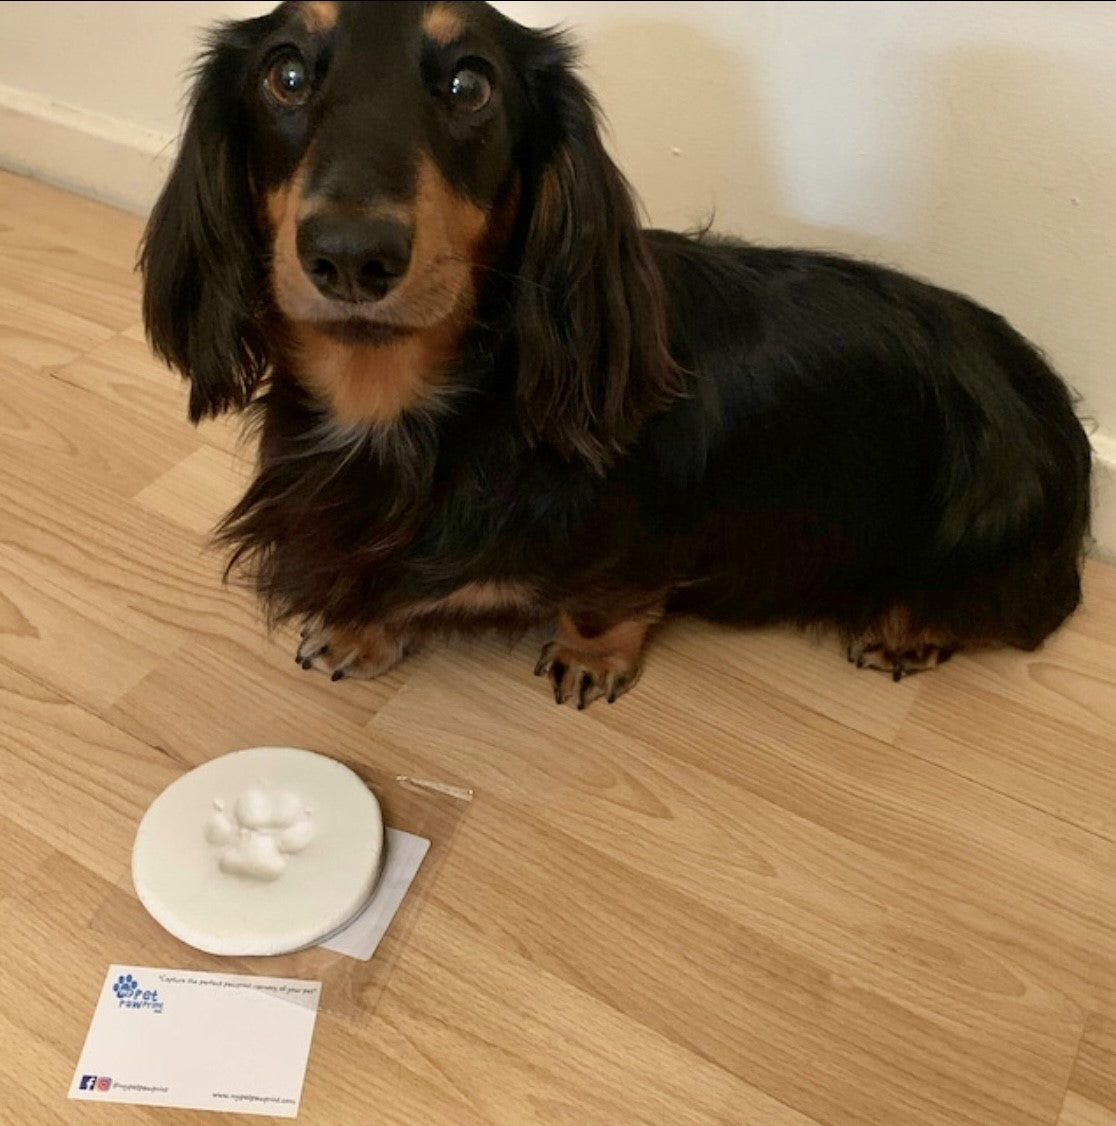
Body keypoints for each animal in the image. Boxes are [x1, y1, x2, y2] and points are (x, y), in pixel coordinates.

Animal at [139, 0, 1090, 707]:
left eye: (470, 83)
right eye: (287, 73)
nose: (349, 255)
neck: (404, 413)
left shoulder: (645, 542)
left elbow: (606, 601)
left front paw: (590, 658)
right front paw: (354, 627)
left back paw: (905, 631)